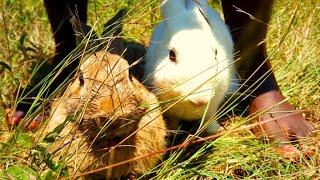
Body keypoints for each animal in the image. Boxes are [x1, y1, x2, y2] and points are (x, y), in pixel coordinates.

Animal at [144, 0, 236, 134]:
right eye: (171, 55)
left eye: (216, 53)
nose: (200, 100)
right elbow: (173, 121)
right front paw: (172, 132)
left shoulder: (212, 106)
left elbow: (209, 119)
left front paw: (217, 130)